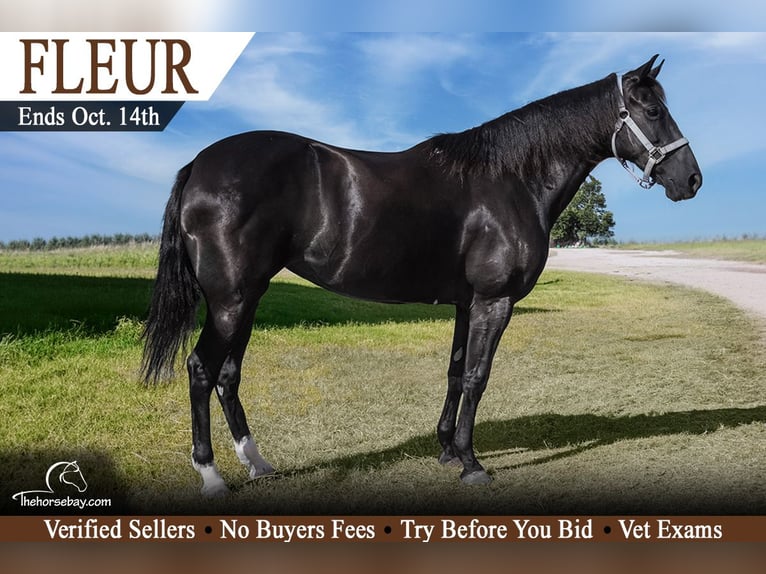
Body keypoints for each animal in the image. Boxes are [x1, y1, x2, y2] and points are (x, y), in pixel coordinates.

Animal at [142, 54, 701, 495]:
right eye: (654, 110)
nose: (692, 180)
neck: (511, 180)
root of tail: (199, 164)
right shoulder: (494, 301)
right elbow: (477, 376)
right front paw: (473, 465)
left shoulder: (466, 303)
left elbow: (455, 373)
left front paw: (449, 451)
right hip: (232, 299)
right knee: (201, 369)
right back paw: (212, 476)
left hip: (247, 296)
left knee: (228, 374)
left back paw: (258, 464)